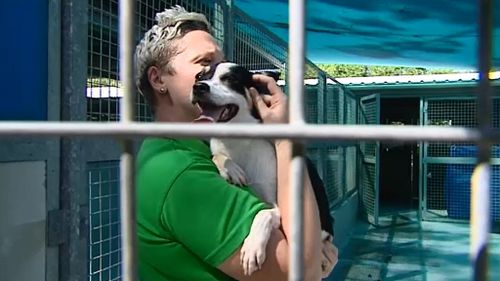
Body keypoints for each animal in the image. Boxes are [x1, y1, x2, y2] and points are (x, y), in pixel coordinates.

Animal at [189, 62, 334, 274]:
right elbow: (217, 155)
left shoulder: (276, 206)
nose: (198, 86)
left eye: (231, 79)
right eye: (199, 76)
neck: (236, 141)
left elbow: (263, 213)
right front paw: (230, 169)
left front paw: (252, 247)